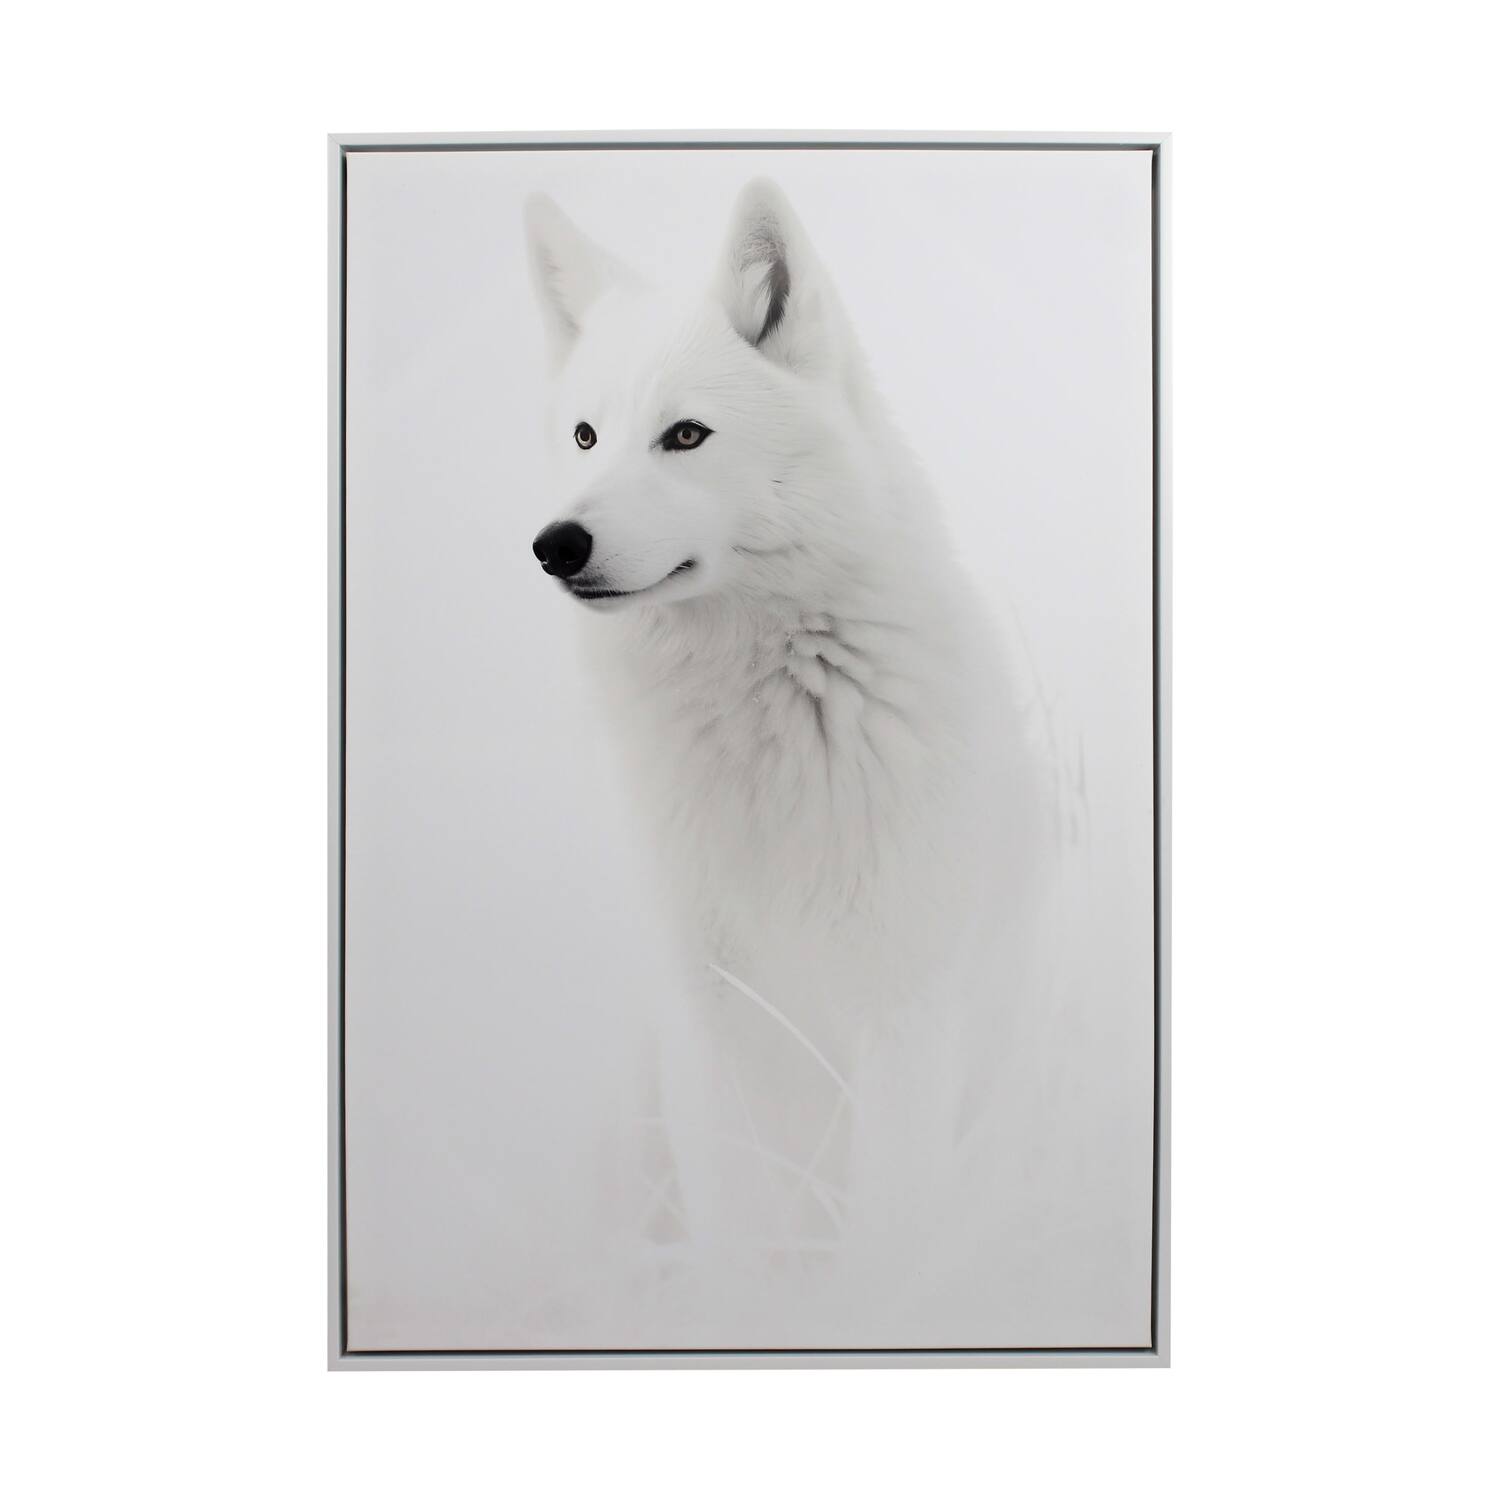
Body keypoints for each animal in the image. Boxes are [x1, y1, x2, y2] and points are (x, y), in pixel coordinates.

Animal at [524, 180, 1054, 1265]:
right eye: (586, 437)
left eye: (686, 436)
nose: (556, 544)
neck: (766, 708)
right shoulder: (707, 1015)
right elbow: (739, 1231)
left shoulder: (904, 1013)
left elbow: (886, 1236)